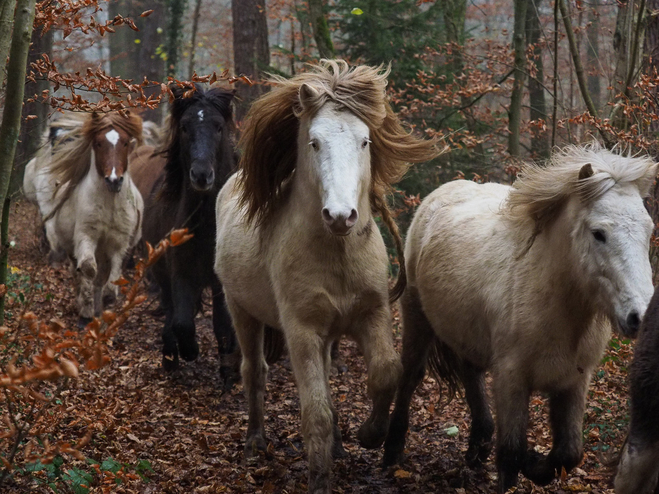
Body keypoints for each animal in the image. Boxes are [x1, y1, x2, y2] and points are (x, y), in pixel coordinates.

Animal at [211, 61, 438, 494]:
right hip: (241, 311)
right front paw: (319, 477)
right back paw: (254, 442)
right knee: (254, 372)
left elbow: (386, 372)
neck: (337, 255)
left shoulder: (372, 314)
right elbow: (315, 411)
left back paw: (339, 447)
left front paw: (369, 435)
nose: (340, 216)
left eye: (365, 141)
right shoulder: (302, 331)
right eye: (314, 143)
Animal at [384, 145, 656, 492]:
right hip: (417, 321)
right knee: (410, 377)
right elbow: (511, 454)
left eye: (648, 231)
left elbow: (569, 453)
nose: (639, 317)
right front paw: (526, 462)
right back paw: (391, 452)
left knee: (470, 375)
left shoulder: (574, 383)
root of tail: (439, 195)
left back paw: (477, 448)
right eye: (599, 234)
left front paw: (535, 463)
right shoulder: (511, 379)